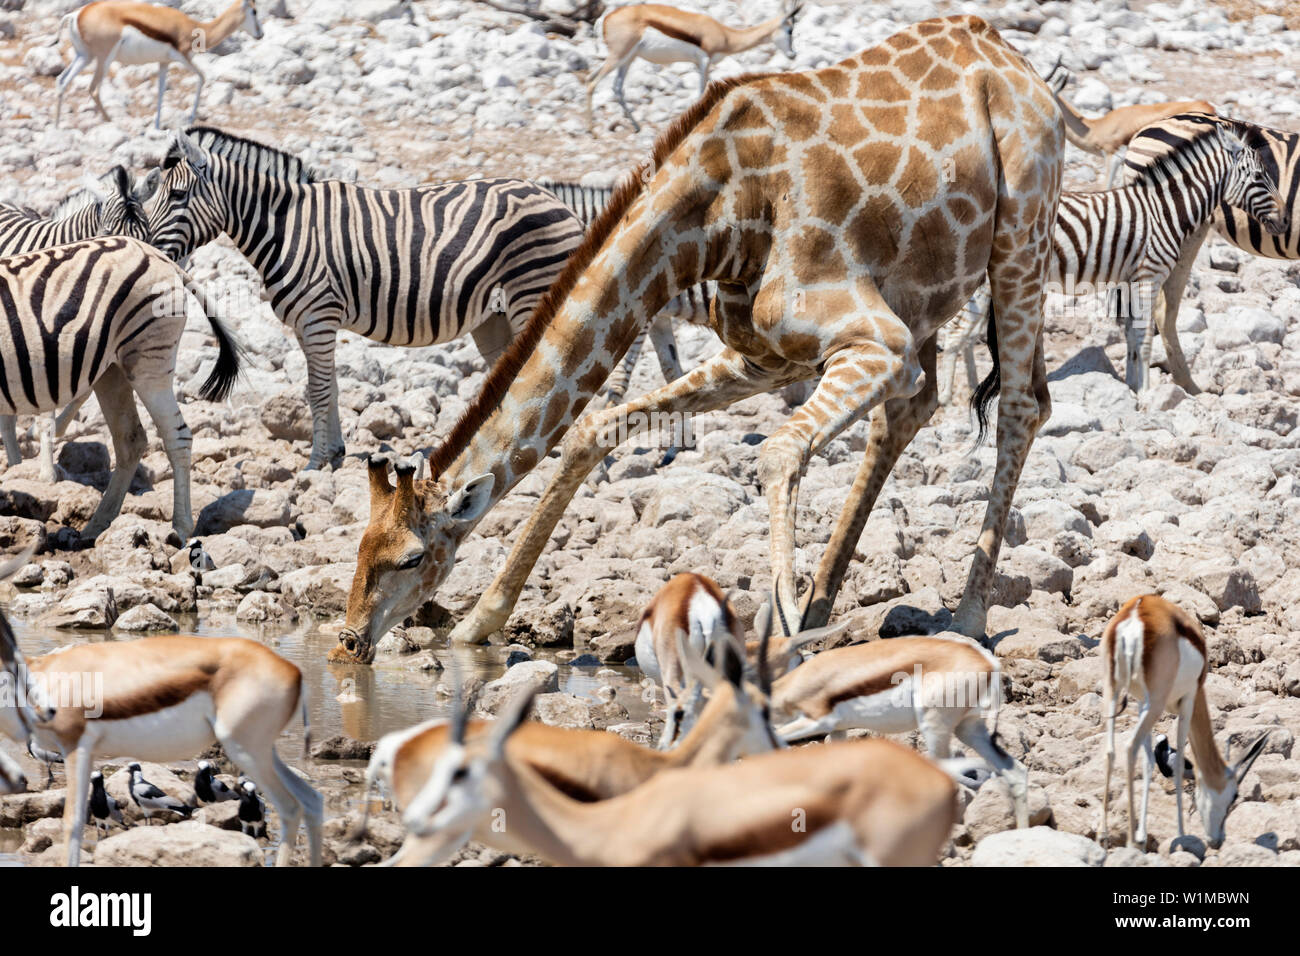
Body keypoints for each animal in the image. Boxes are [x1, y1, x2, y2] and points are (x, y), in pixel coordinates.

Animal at [0, 236, 240, 542]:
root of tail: (158, 255)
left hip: (148, 362)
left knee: (178, 437)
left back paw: (181, 529)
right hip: (111, 370)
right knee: (130, 439)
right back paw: (97, 526)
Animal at [144, 127, 588, 469]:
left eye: (178, 196)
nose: (150, 248)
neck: (286, 228)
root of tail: (561, 204)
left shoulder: (318, 317)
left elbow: (318, 390)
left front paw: (315, 463)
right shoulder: (308, 324)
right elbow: (330, 386)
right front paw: (336, 453)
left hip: (532, 294)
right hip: (494, 316)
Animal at [330, 16, 1064, 664]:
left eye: (410, 558)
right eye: (360, 544)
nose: (348, 641)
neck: (719, 214)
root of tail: (1013, 59)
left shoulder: (875, 341)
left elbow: (778, 452)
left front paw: (781, 632)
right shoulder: (765, 356)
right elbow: (597, 427)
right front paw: (479, 623)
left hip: (1019, 238)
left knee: (1023, 405)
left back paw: (965, 617)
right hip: (927, 298)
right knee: (914, 408)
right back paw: (823, 605)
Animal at [939, 118, 1287, 400]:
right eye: (1260, 176)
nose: (1285, 220)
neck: (1163, 211)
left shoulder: (1131, 279)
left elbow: (1132, 335)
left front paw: (1133, 387)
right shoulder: (1148, 276)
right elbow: (1144, 336)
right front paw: (1145, 393)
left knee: (960, 336)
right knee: (954, 336)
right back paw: (947, 401)